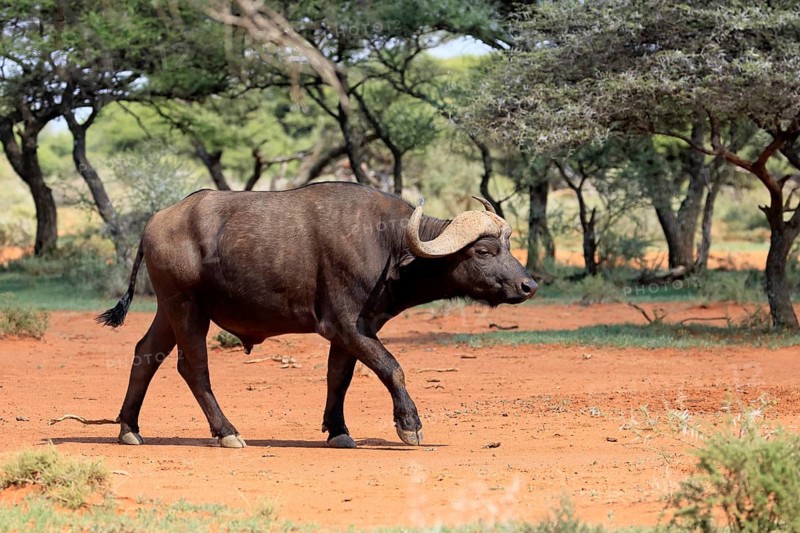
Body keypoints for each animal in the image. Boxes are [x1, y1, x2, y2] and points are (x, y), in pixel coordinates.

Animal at [99, 182, 536, 449]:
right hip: (187, 308)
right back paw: (226, 432)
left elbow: (339, 377)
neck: (389, 245)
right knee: (193, 368)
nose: (528, 285)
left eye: (507, 245)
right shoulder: (346, 325)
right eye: (483, 251)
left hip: (169, 310)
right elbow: (391, 368)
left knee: (145, 354)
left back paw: (129, 428)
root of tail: (156, 222)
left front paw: (338, 431)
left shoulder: (354, 331)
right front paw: (409, 425)